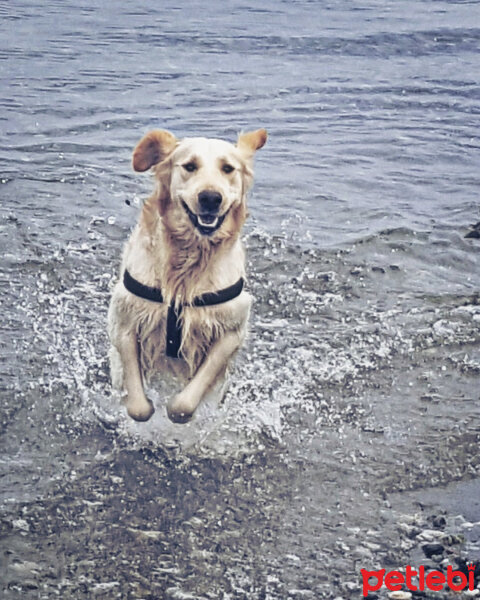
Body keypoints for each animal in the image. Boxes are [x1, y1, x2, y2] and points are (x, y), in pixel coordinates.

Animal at [108, 129, 266, 424]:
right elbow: (138, 405)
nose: (210, 198)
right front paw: (144, 407)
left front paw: (176, 410)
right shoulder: (125, 318)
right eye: (190, 166)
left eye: (228, 168)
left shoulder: (231, 329)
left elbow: (186, 400)